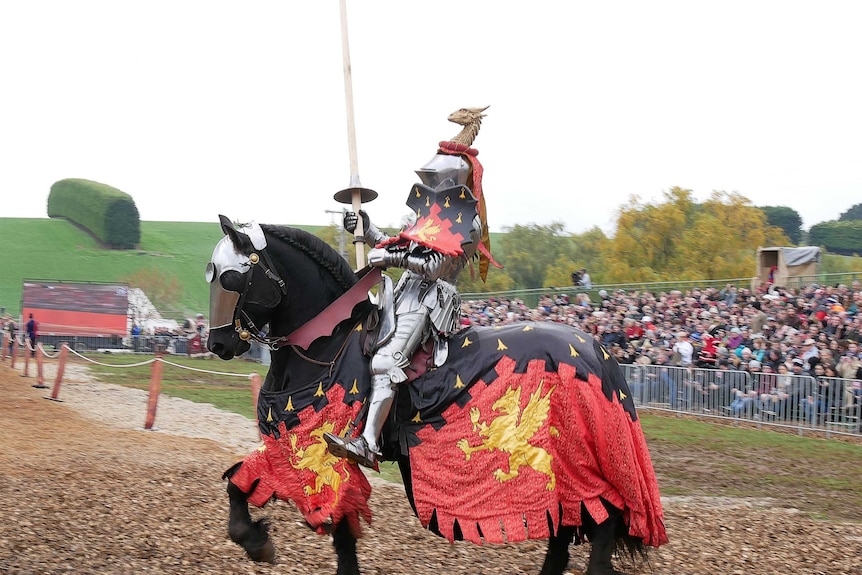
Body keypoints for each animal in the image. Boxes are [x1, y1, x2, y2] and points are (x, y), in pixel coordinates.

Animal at [209, 217, 668, 575]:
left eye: (231, 278)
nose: (219, 344)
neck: (325, 343)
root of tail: (598, 350)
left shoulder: (324, 454)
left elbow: (339, 531)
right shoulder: (287, 445)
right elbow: (238, 482)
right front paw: (257, 541)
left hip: (576, 462)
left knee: (604, 523)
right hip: (558, 475)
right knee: (564, 528)